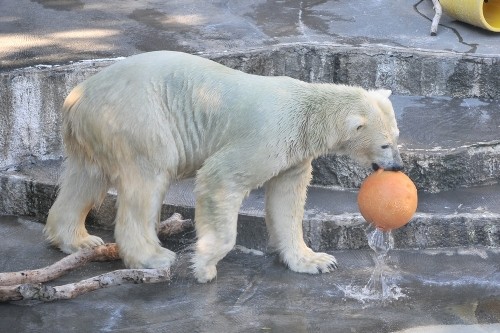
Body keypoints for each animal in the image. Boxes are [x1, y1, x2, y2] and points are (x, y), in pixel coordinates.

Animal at [43, 50, 402, 282]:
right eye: (385, 144)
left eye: (397, 137)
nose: (398, 167)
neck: (307, 113)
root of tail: (74, 98)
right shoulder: (267, 136)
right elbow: (221, 176)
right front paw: (204, 264)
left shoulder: (294, 153)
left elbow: (287, 198)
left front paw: (315, 261)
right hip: (138, 118)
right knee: (147, 178)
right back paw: (153, 256)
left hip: (94, 133)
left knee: (86, 178)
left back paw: (78, 240)